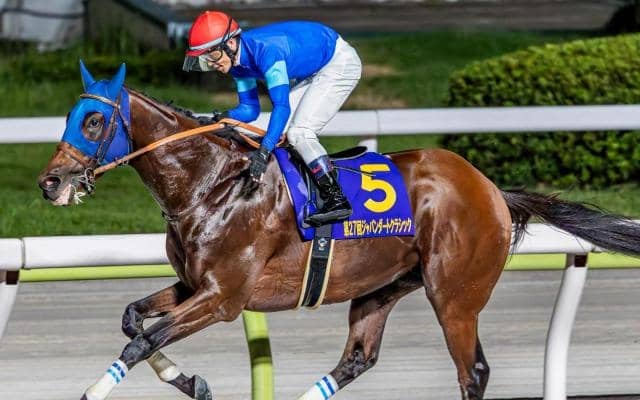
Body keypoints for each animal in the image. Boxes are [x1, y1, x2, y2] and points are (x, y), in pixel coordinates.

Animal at [37, 62, 640, 400]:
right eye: (68, 116)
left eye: (93, 120)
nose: (50, 182)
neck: (209, 184)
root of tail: (491, 189)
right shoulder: (193, 285)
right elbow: (132, 320)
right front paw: (194, 382)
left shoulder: (224, 298)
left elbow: (144, 339)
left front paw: (95, 389)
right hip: (381, 287)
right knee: (358, 358)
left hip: (455, 296)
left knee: (473, 372)